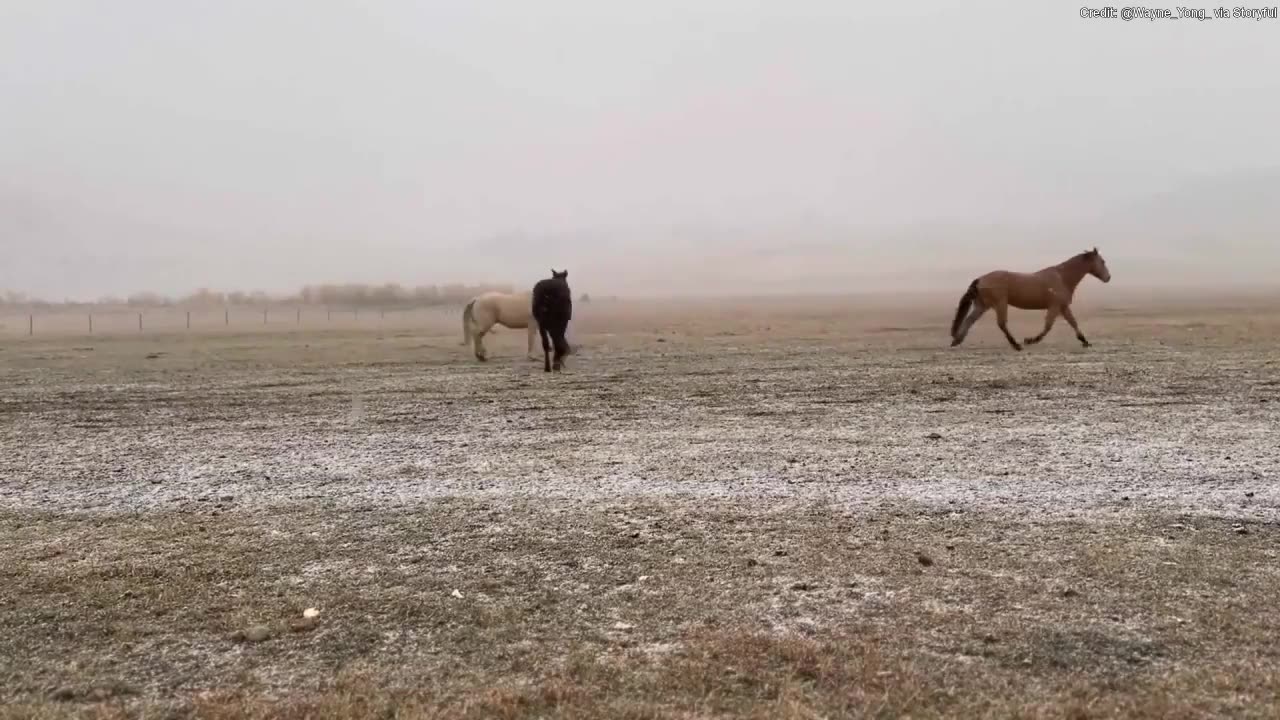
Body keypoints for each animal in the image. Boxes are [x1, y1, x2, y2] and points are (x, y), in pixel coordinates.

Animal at [952, 245, 1111, 351]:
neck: (1062, 277)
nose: (1108, 277)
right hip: (1000, 303)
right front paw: (1030, 340)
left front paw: (1085, 341)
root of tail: (980, 279)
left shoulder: (1063, 307)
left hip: (982, 305)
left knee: (969, 320)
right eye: (1102, 261)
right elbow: (1048, 326)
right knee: (1001, 324)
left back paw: (957, 340)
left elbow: (1073, 323)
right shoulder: (1054, 306)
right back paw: (1016, 345)